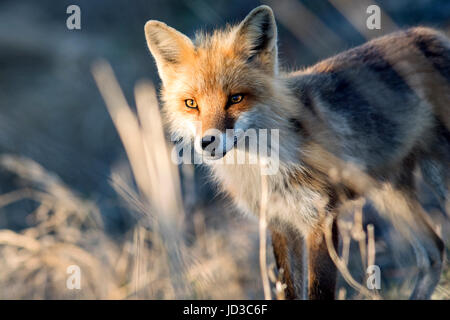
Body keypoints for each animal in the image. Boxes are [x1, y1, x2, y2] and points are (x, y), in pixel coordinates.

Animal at [145, 5, 450, 300]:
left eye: (235, 98)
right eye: (191, 103)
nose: (207, 142)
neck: (258, 168)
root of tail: (430, 35)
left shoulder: (320, 219)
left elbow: (317, 292)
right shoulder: (280, 223)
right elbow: (289, 290)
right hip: (389, 192)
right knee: (433, 252)